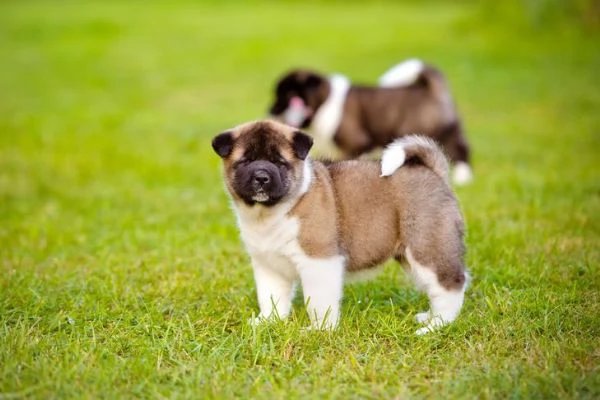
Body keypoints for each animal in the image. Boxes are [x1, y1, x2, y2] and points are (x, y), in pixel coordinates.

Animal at [211, 119, 468, 334]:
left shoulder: (319, 261)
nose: (262, 177)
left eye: (279, 163)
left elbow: (318, 302)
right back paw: (429, 317)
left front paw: (319, 330)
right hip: (410, 256)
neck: (272, 212)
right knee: (436, 288)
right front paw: (269, 322)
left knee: (451, 284)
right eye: (245, 161)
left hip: (427, 247)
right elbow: (271, 298)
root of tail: (433, 172)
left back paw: (437, 325)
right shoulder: (269, 266)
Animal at [268, 58, 474, 186]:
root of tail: (431, 89)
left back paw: (462, 178)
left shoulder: (355, 144)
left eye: (287, 95)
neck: (324, 100)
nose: (270, 110)